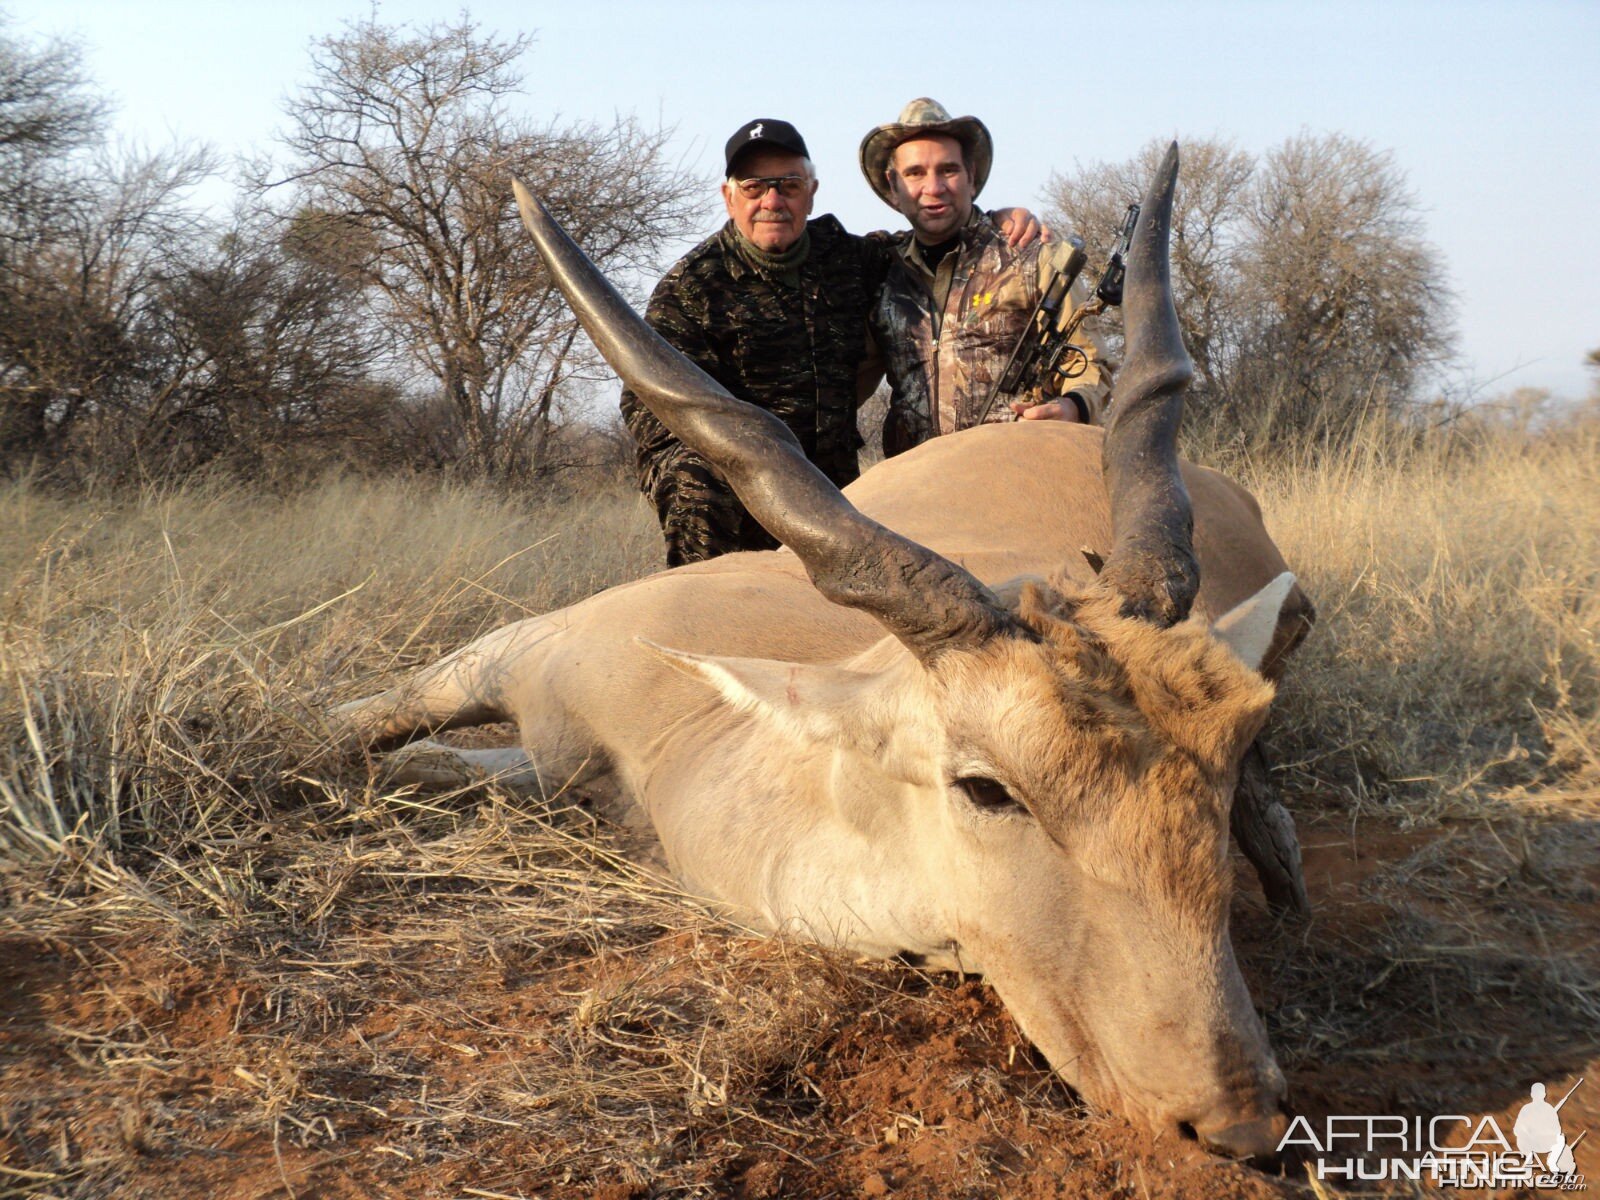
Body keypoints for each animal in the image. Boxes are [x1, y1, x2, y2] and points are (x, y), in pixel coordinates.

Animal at [337, 145, 1312, 1158]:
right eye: (987, 788)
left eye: (1226, 766)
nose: (1236, 1120)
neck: (695, 731)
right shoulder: (527, 651)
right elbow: (355, 728)